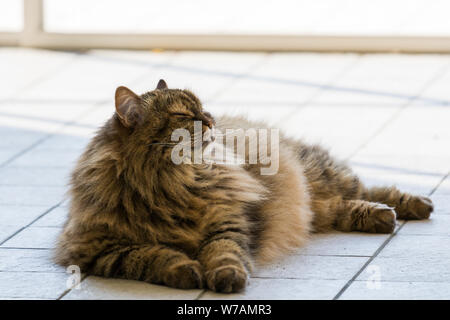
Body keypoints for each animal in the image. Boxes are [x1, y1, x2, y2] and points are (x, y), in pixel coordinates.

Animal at [54, 79, 434, 292]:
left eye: (203, 108)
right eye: (184, 116)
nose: (210, 120)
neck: (170, 186)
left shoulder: (227, 222)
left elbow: (224, 253)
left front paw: (226, 277)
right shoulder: (98, 250)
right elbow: (152, 256)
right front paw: (186, 270)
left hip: (320, 174)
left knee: (367, 190)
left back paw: (414, 206)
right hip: (319, 202)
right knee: (337, 208)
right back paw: (383, 217)